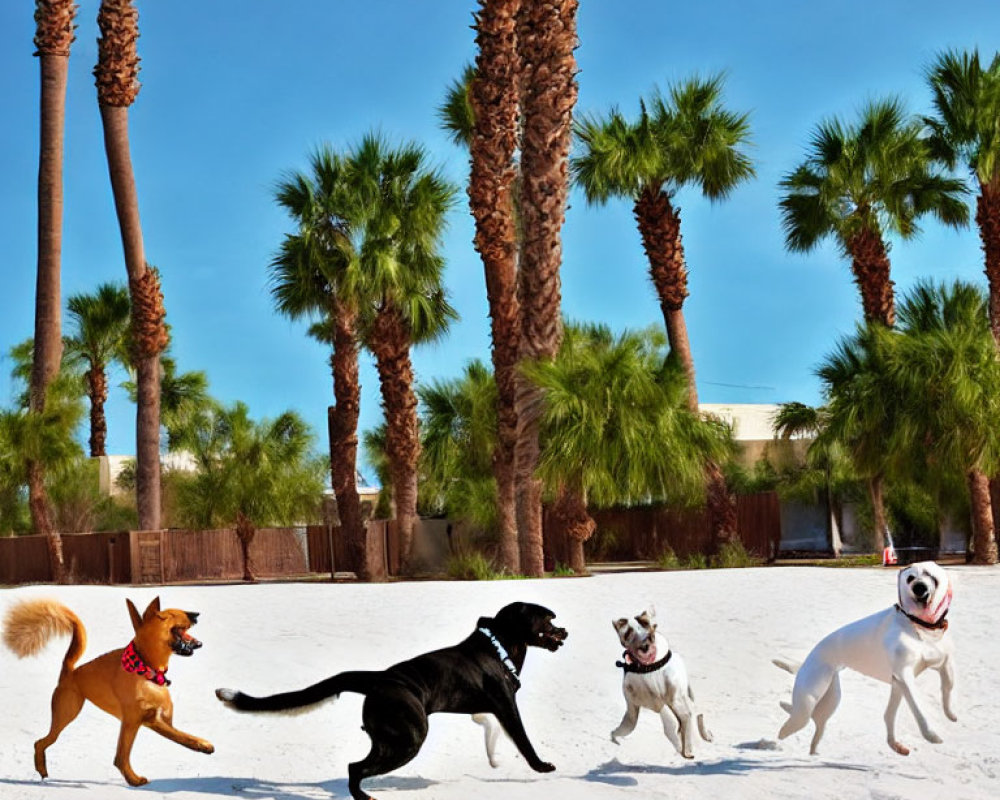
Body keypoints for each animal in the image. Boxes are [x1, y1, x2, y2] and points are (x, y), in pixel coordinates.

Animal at [2, 596, 215, 784]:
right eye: (168, 615)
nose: (195, 614)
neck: (147, 669)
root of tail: (70, 672)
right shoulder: (136, 721)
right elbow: (122, 757)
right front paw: (133, 779)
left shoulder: (155, 720)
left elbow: (179, 735)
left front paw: (200, 744)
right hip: (65, 714)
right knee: (40, 742)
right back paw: (42, 769)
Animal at [216, 600, 568, 800]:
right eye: (547, 620)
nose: (564, 631)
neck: (500, 646)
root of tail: (378, 678)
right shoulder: (506, 706)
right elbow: (523, 739)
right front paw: (541, 766)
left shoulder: (487, 710)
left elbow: (492, 733)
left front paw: (494, 760)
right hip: (408, 739)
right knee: (355, 768)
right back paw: (363, 798)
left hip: (389, 739)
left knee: (357, 766)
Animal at [608, 604, 712, 760]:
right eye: (628, 632)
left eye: (647, 624)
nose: (645, 641)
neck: (649, 668)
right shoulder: (633, 709)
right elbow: (623, 728)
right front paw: (615, 738)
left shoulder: (675, 703)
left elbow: (682, 724)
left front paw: (687, 749)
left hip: (686, 700)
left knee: (696, 715)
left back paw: (705, 735)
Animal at [776, 556, 956, 756]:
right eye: (910, 578)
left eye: (930, 575)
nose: (919, 587)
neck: (919, 625)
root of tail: (806, 661)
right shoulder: (905, 676)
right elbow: (919, 709)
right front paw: (931, 734)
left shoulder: (938, 665)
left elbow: (948, 687)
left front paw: (950, 714)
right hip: (807, 704)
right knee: (787, 727)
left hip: (830, 700)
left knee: (820, 728)